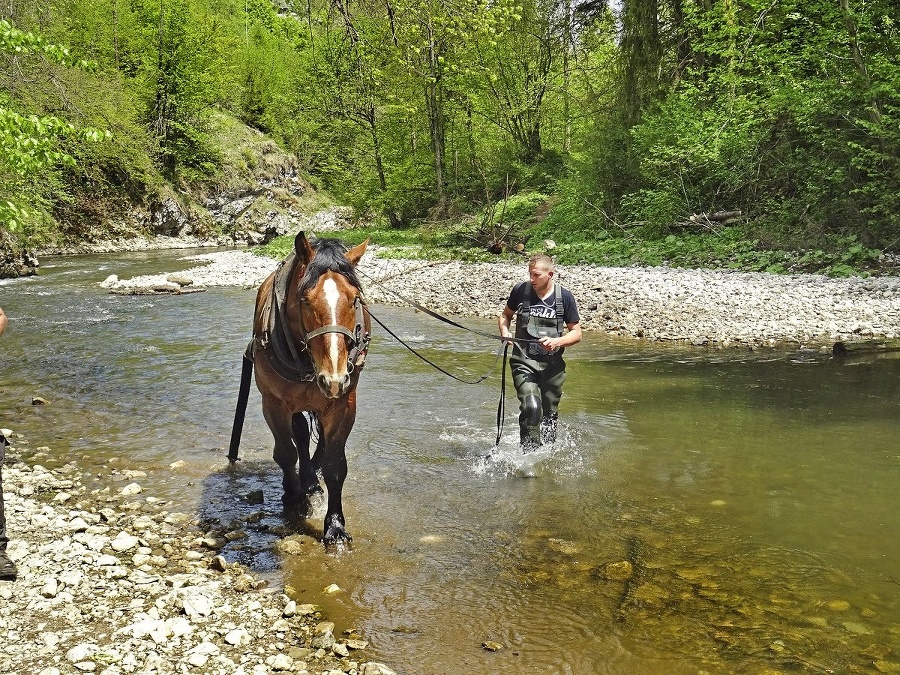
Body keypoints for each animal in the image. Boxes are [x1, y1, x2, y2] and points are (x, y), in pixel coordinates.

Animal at [234, 231, 374, 544]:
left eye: (355, 299)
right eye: (305, 300)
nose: (334, 377)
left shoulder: (344, 402)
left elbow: (335, 466)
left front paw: (335, 525)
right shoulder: (273, 403)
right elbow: (286, 452)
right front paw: (294, 497)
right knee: (297, 434)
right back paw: (304, 482)